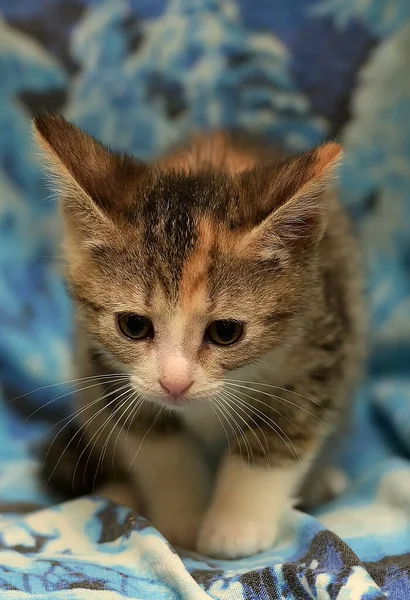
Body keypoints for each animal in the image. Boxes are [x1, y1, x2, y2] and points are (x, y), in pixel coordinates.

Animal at [33, 116, 364, 556]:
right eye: (134, 326)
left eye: (225, 332)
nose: (175, 383)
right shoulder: (102, 363)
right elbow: (155, 442)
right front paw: (182, 521)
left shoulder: (321, 344)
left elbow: (276, 438)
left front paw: (235, 527)